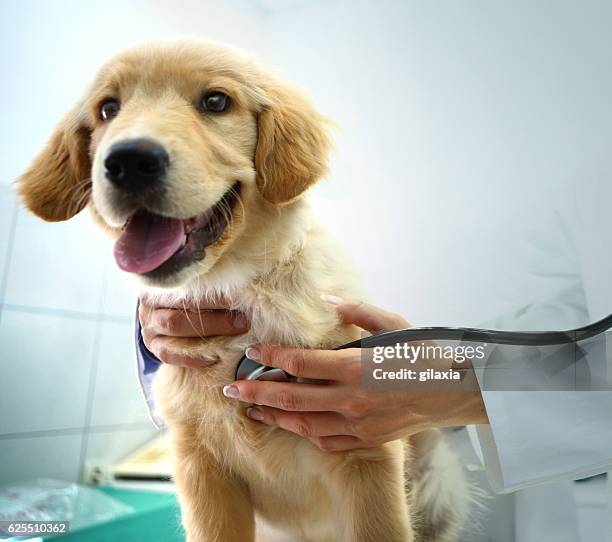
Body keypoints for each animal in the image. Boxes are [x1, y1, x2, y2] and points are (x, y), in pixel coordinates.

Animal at [17, 39, 468, 542]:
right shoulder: (200, 469)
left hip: (436, 482)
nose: (129, 161)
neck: (240, 290)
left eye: (216, 101)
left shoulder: (366, 458)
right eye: (108, 108)